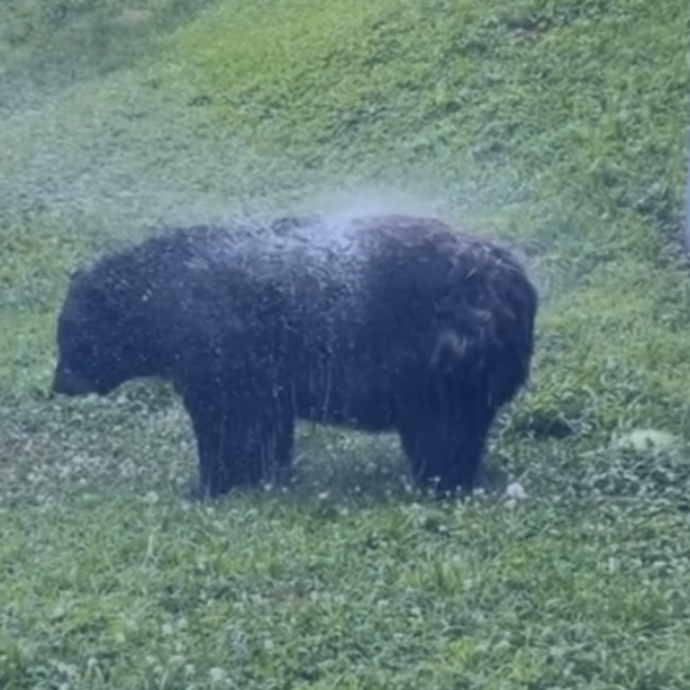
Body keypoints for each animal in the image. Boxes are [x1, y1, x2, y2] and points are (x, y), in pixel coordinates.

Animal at [52, 212, 536, 498]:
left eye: (68, 336)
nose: (59, 383)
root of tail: (513, 281)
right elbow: (267, 424)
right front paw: (264, 473)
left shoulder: (219, 349)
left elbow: (227, 424)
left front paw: (211, 484)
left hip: (440, 353)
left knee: (441, 428)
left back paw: (440, 480)